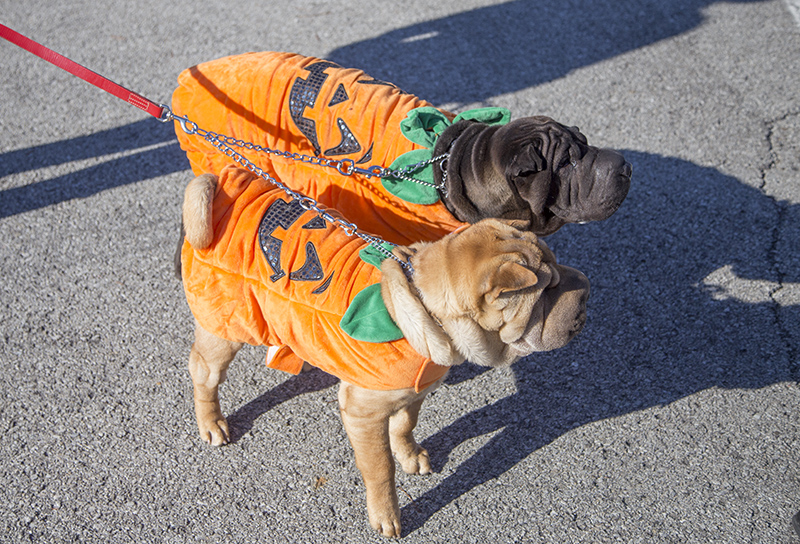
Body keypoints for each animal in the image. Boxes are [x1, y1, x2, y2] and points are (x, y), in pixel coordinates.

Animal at [180, 169, 588, 536]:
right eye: (546, 291)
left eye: (558, 266)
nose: (585, 288)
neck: (423, 303)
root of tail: (223, 184)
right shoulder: (362, 416)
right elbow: (379, 470)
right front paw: (387, 515)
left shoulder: (414, 392)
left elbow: (405, 425)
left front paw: (410, 455)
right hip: (227, 330)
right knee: (203, 372)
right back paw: (212, 423)